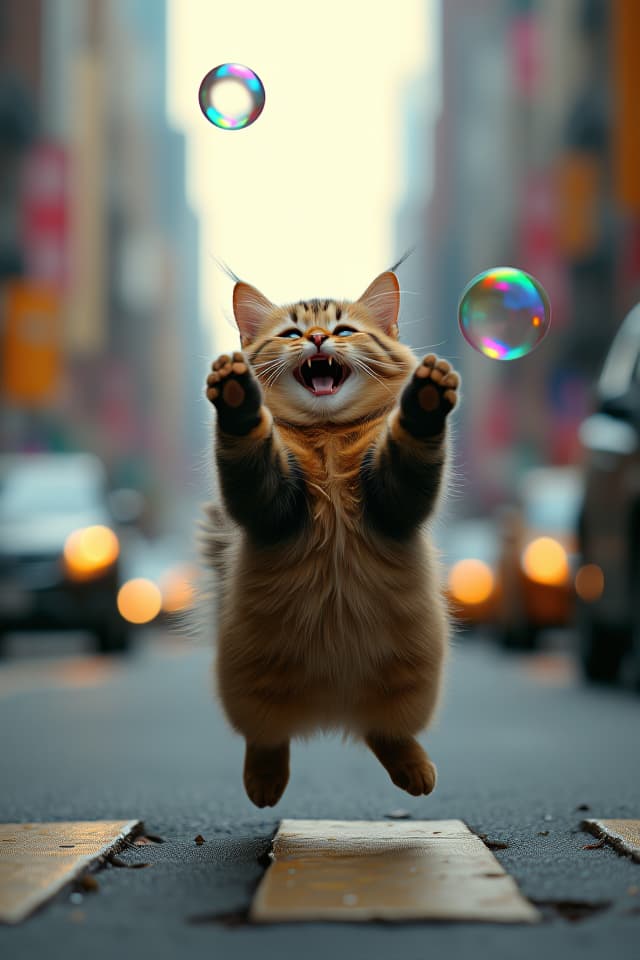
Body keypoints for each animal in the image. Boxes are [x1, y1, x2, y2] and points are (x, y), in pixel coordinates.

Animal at [202, 266, 458, 808]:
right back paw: (265, 784)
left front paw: (426, 398)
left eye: (343, 330)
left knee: (385, 733)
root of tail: (330, 709)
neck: (329, 438)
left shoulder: (394, 496)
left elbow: (413, 444)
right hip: (251, 689)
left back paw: (416, 771)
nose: (318, 339)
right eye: (290, 335)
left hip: (406, 686)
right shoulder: (269, 500)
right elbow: (247, 444)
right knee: (267, 739)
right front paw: (236, 396)